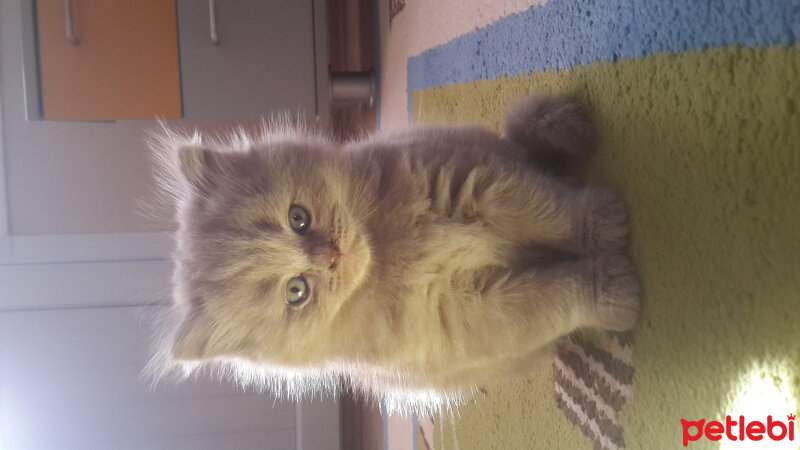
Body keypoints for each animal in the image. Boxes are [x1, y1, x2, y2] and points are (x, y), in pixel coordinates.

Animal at [148, 96, 636, 416]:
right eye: (296, 292)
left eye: (298, 218)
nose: (332, 254)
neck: (391, 249)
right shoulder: (479, 316)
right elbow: (562, 295)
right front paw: (614, 288)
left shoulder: (484, 183)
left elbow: (557, 213)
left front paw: (605, 223)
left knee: (528, 144)